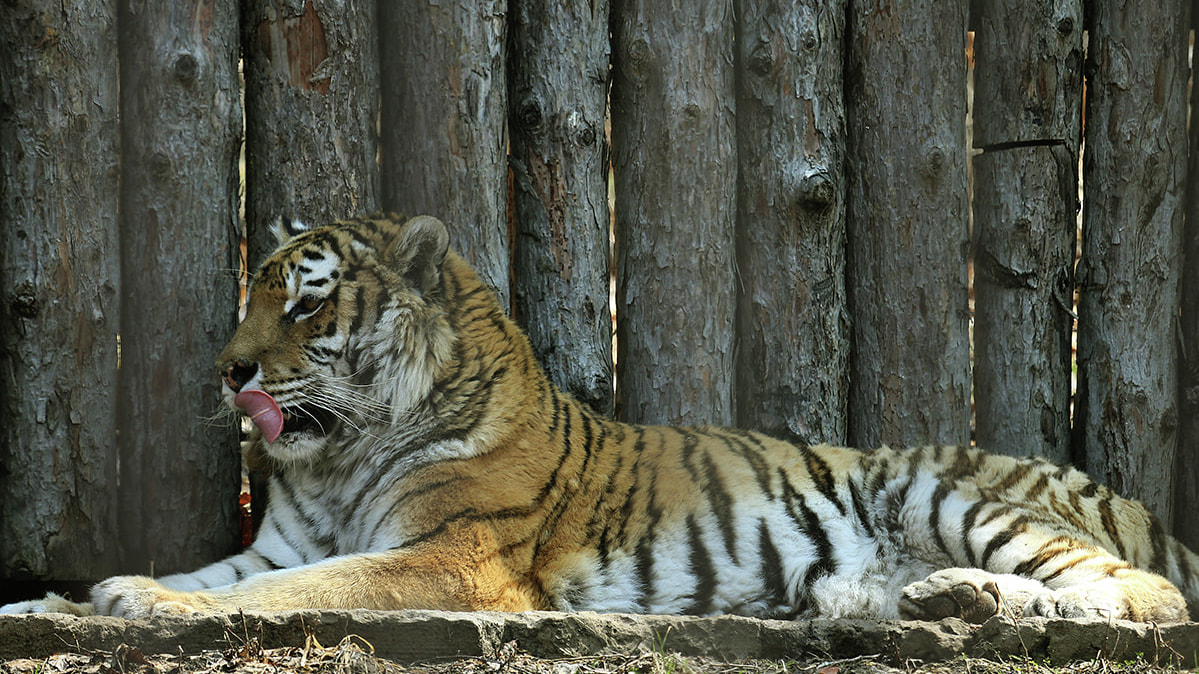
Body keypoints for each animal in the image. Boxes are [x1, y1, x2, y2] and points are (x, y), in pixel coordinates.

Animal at [2, 212, 1199, 623]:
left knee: (1142, 591)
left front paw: (140, 606)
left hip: (944, 488)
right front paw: (68, 597)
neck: (340, 453)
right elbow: (216, 571)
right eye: (248, 297)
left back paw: (1025, 603)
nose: (227, 370)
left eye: (302, 301)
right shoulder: (280, 540)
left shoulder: (448, 557)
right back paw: (945, 601)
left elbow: (300, 589)